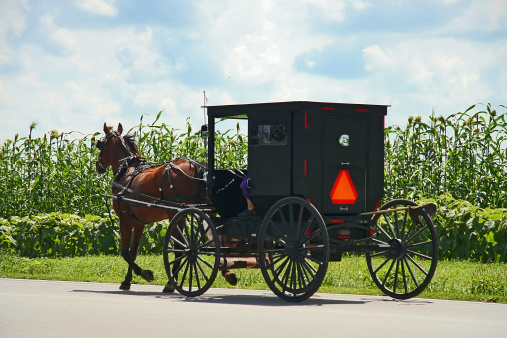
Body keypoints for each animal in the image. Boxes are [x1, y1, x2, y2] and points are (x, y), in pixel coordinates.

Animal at [95, 123, 238, 292]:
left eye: (100, 144)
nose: (98, 166)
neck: (127, 171)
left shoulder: (126, 219)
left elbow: (125, 252)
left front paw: (145, 274)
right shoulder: (139, 223)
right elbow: (133, 252)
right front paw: (127, 280)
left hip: (175, 213)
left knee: (181, 248)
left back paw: (171, 283)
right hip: (208, 212)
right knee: (216, 241)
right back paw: (227, 273)